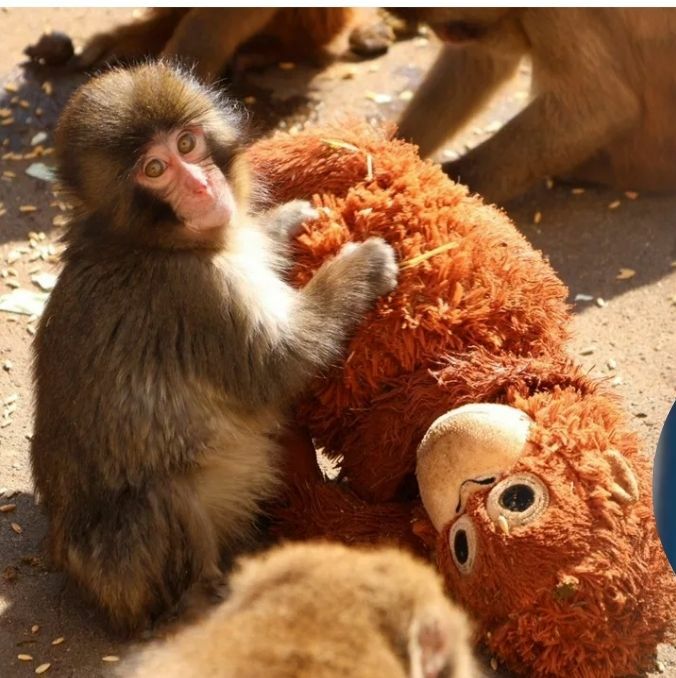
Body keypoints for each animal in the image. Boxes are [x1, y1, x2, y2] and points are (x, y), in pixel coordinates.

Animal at [30, 62, 398, 634]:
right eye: (155, 168)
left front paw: (283, 221)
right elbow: (279, 364)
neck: (150, 242)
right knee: (161, 498)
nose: (202, 185)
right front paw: (359, 268)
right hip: (125, 569)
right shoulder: (197, 294)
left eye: (188, 143)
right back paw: (204, 598)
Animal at [392, 9, 676, 204]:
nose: (445, 34)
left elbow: (600, 109)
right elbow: (482, 61)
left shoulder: (553, 12)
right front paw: (397, 147)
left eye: (450, 27)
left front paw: (447, 187)